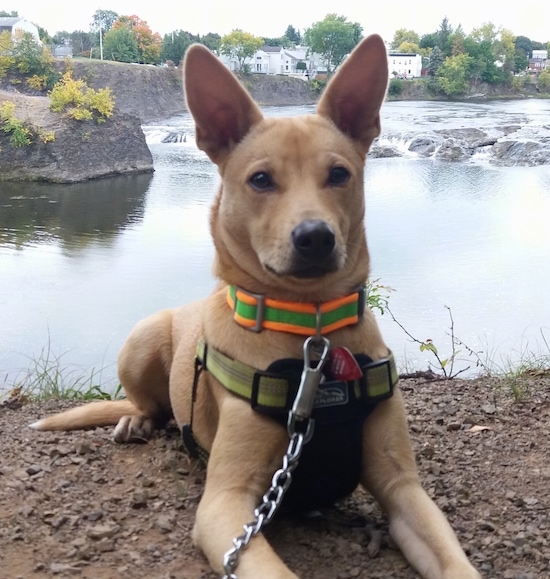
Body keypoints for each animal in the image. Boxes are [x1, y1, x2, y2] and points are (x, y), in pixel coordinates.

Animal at [32, 36, 484, 579]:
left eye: (339, 174)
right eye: (261, 180)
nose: (314, 237)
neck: (311, 336)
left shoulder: (403, 489)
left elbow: (454, 560)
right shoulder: (226, 503)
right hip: (142, 335)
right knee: (148, 404)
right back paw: (137, 420)